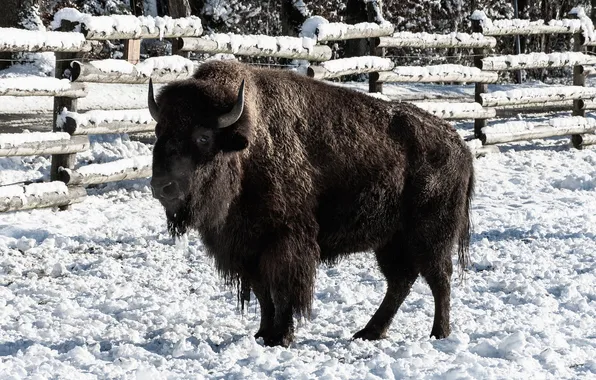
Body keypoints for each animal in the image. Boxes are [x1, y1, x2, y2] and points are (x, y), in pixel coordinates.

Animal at [149, 60, 474, 348]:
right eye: (159, 131)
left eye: (203, 137)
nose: (161, 186)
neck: (246, 148)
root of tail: (460, 146)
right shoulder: (247, 248)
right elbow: (264, 294)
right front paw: (263, 333)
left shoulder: (284, 242)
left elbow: (282, 291)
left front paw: (280, 337)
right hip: (391, 241)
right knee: (401, 281)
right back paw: (369, 332)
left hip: (430, 235)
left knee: (438, 278)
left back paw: (439, 333)